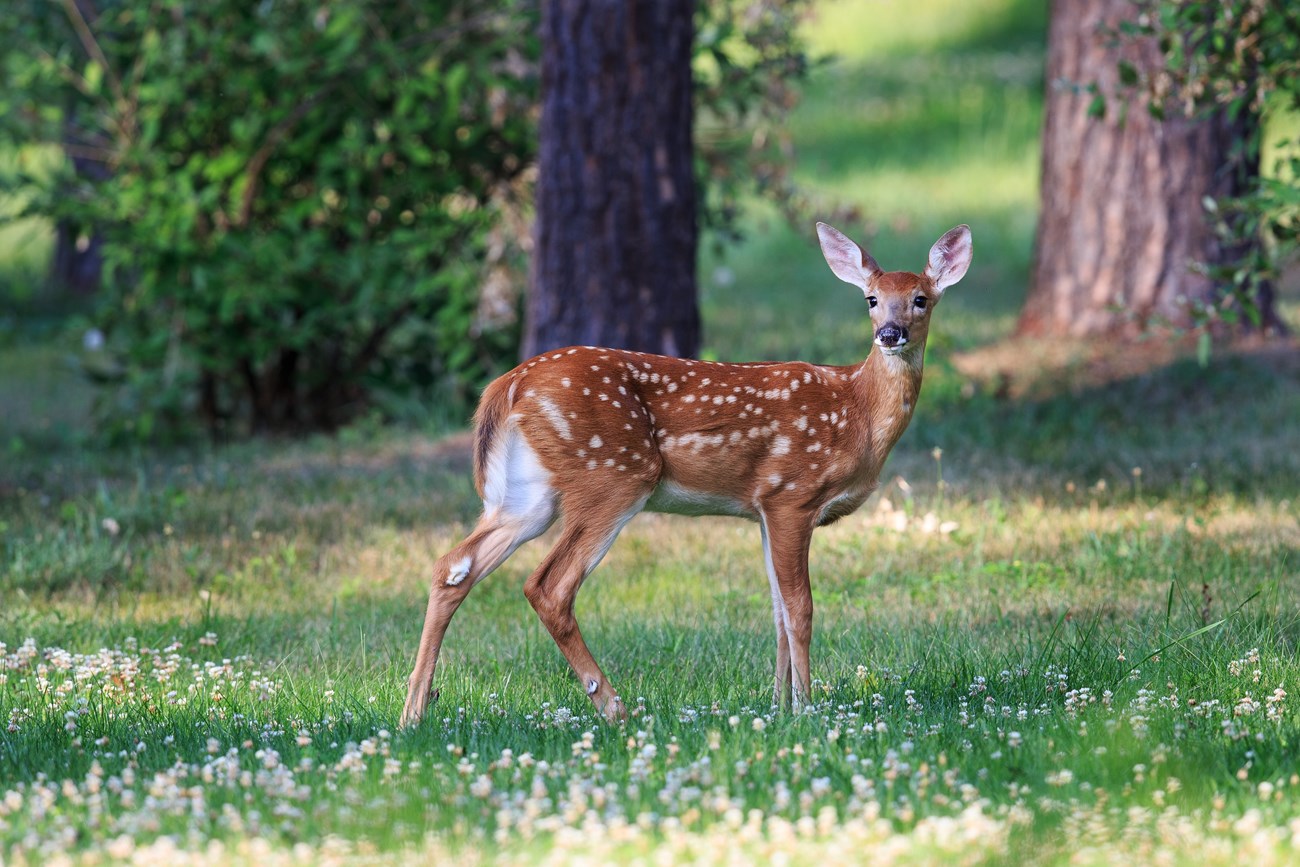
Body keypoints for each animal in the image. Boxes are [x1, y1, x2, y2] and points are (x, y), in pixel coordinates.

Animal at [400, 222, 972, 727]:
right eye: (871, 299)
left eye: (920, 298)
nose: (890, 334)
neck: (856, 413)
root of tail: (508, 385)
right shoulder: (792, 493)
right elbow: (800, 609)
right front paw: (808, 710)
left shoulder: (762, 509)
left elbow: (776, 613)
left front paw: (779, 708)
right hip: (613, 475)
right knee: (548, 586)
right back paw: (615, 710)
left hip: (527, 495)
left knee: (453, 566)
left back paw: (413, 714)